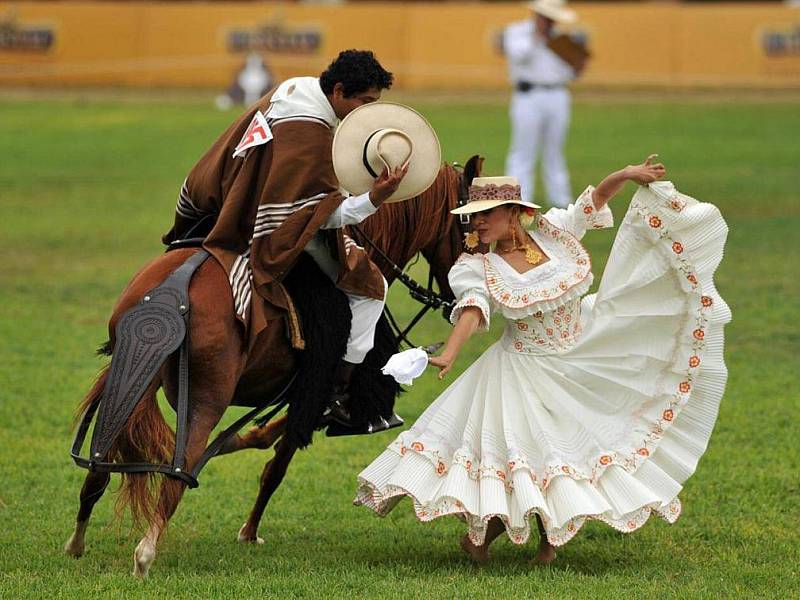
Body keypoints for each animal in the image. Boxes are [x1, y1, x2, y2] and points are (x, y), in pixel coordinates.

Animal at [64, 156, 482, 576]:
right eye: (469, 229)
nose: (460, 302)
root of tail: (174, 288)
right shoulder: (313, 391)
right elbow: (277, 464)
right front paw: (249, 530)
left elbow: (267, 443)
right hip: (207, 398)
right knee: (179, 471)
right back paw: (145, 553)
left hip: (131, 379)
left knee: (99, 466)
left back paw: (77, 543)